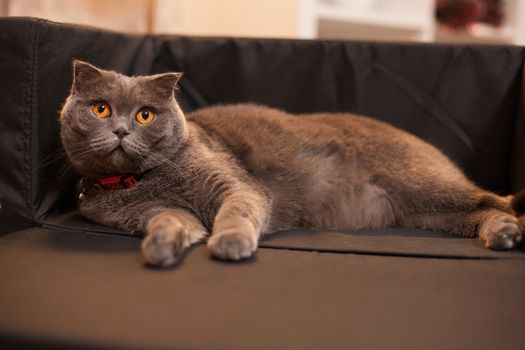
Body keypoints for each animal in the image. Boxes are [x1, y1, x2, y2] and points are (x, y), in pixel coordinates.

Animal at [59, 60, 520, 266]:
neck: (142, 181)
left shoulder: (234, 185)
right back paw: (502, 235)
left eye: (145, 115)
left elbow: (236, 212)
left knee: (499, 201)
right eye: (101, 109)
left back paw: (512, 231)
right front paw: (160, 246)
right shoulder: (157, 211)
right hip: (425, 213)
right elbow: (170, 221)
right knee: (482, 212)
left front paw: (230, 243)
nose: (121, 130)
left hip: (426, 184)